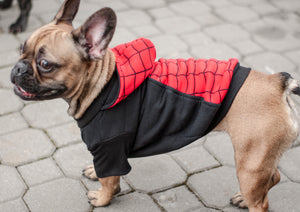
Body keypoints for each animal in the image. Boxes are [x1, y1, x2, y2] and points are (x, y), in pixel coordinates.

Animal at [9, 0, 300, 210]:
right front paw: (94, 172)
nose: (17, 67)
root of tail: (276, 83)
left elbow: (109, 181)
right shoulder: (108, 153)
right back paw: (241, 198)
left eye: (45, 64)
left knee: (261, 201)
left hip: (250, 163)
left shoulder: (109, 150)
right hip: (261, 158)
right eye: (21, 48)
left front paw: (102, 199)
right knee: (273, 177)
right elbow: (105, 174)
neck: (102, 84)